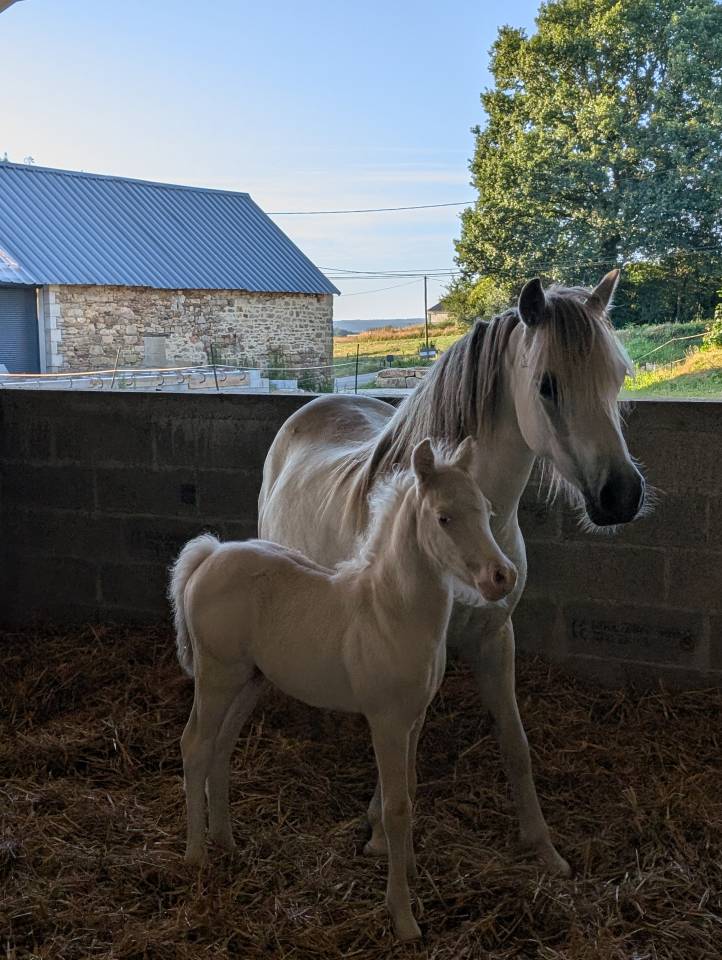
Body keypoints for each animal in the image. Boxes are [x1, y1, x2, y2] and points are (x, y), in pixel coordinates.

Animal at [170, 438, 516, 940]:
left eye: (487, 512)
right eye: (443, 517)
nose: (501, 577)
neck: (392, 613)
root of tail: (211, 554)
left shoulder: (415, 719)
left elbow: (411, 787)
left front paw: (411, 870)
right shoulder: (386, 722)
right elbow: (395, 807)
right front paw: (403, 914)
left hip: (249, 681)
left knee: (221, 747)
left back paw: (227, 841)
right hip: (216, 675)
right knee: (195, 744)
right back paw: (196, 855)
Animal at [258, 271, 647, 878]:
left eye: (618, 375)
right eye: (547, 386)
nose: (621, 496)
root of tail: (319, 402)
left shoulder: (495, 638)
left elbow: (514, 742)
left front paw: (543, 846)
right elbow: (407, 744)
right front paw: (380, 831)